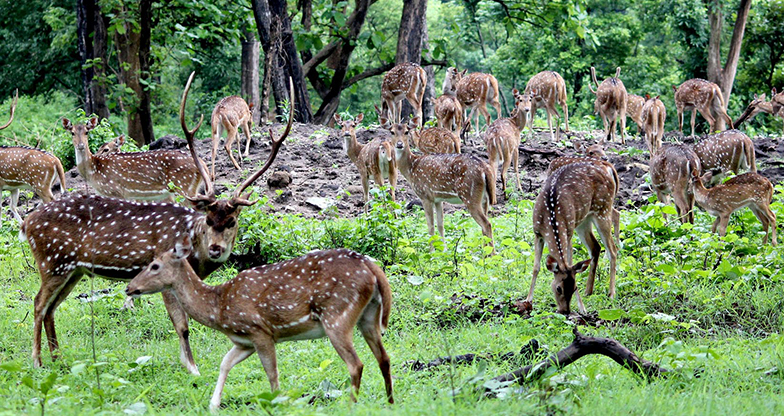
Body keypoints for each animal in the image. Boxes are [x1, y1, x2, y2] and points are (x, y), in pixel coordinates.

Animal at [0, 90, 68, 223]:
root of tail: (56, 160)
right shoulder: (13, 187)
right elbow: (12, 207)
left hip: (40, 184)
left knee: (50, 200)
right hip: (49, 183)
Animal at [62, 115, 205, 203]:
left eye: (87, 132)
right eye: (72, 132)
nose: (80, 145)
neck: (94, 170)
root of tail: (203, 165)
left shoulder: (116, 191)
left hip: (183, 187)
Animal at [130, 245, 398, 412]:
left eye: (154, 265)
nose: (129, 287)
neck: (219, 307)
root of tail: (372, 268)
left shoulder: (260, 331)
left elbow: (272, 373)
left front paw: (277, 403)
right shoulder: (243, 341)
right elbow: (225, 363)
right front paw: (213, 404)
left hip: (336, 316)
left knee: (356, 364)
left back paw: (351, 405)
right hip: (368, 316)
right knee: (384, 358)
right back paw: (390, 402)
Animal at [528, 161, 620, 314]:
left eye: (575, 287)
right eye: (558, 288)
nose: (565, 311)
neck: (551, 217)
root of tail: (607, 165)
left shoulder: (568, 231)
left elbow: (570, 261)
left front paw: (582, 308)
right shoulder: (537, 233)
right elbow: (536, 267)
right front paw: (528, 301)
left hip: (603, 209)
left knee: (612, 249)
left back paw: (611, 294)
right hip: (584, 219)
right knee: (596, 247)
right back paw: (588, 291)